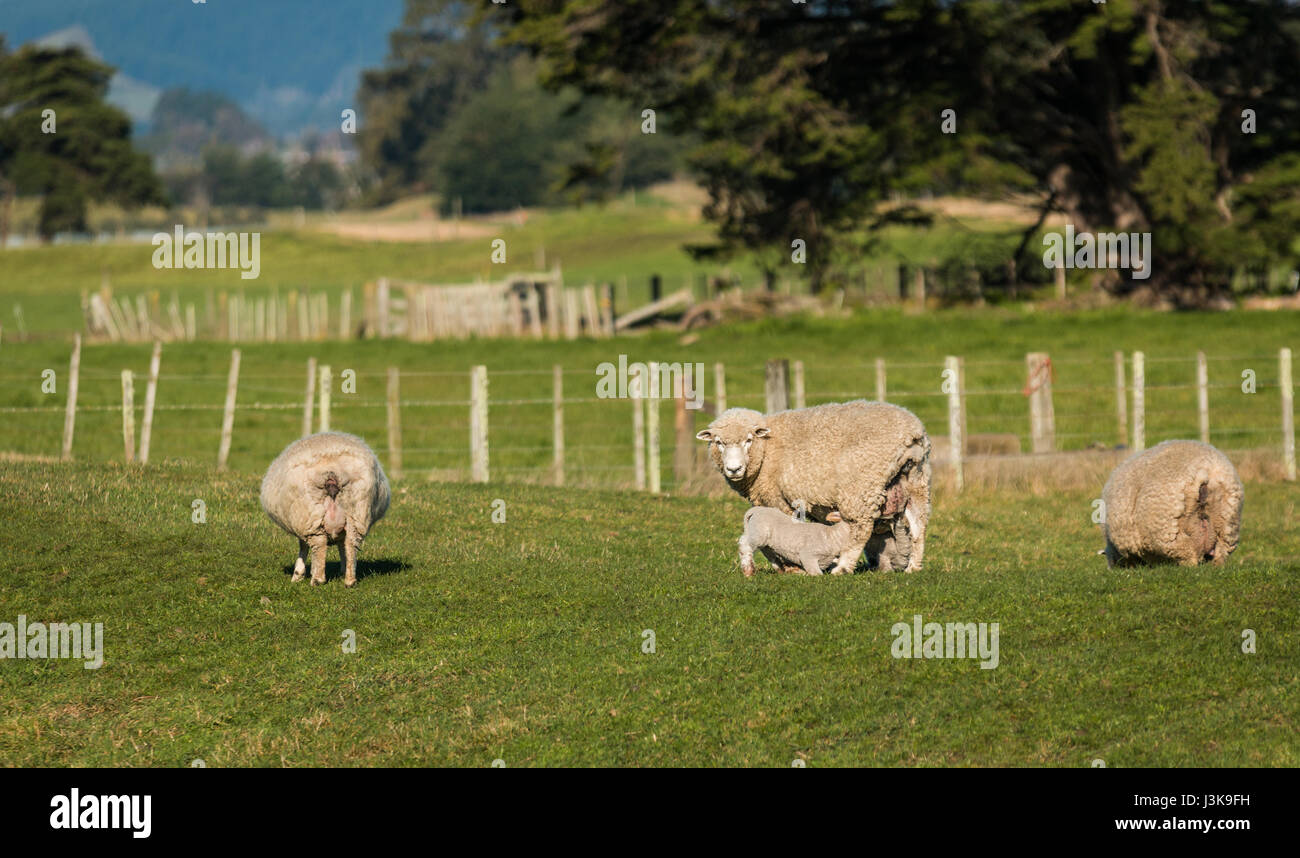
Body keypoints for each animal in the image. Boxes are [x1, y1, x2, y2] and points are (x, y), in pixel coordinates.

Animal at [260, 432, 391, 587]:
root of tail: (332, 474)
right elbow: (342, 546)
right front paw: (342, 568)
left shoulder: (301, 524)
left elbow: (302, 547)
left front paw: (298, 575)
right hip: (356, 513)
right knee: (351, 544)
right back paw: (350, 580)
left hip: (310, 517)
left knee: (319, 546)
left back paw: (317, 579)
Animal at [697, 401, 931, 574]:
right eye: (718, 442)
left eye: (748, 440)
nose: (733, 469)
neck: (767, 449)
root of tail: (912, 433)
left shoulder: (777, 499)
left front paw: (789, 566)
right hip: (916, 484)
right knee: (918, 527)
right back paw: (913, 567)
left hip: (861, 487)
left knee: (861, 529)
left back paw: (843, 567)